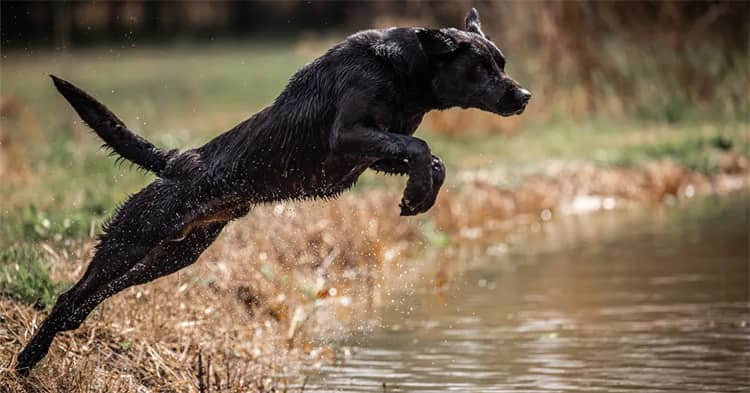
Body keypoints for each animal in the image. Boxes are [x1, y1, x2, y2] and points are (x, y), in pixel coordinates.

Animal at [13, 7, 528, 372]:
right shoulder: (349, 137)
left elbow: (431, 158)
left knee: (91, 296)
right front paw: (418, 193)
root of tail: (177, 161)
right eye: (481, 67)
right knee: (71, 294)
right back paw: (28, 357)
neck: (407, 70)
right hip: (135, 235)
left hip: (176, 253)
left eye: (502, 62)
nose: (523, 96)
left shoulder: (376, 153)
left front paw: (420, 195)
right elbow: (421, 147)